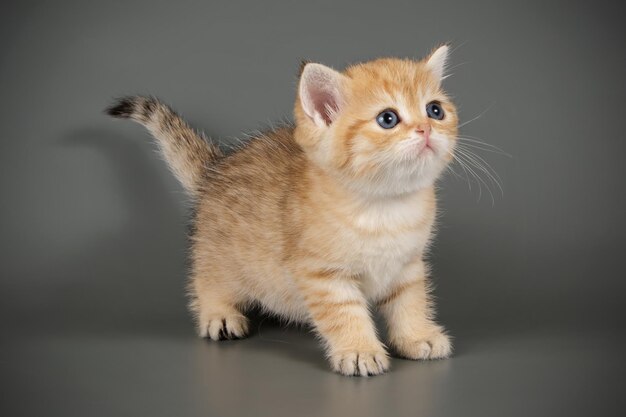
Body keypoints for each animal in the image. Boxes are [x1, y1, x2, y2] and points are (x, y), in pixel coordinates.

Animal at [106, 44, 458, 376]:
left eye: (435, 110)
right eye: (388, 119)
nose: (426, 129)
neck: (385, 206)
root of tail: (214, 169)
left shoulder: (408, 265)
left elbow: (410, 302)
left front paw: (417, 337)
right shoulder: (322, 275)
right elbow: (345, 314)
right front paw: (359, 350)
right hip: (219, 257)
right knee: (205, 281)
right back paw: (218, 313)